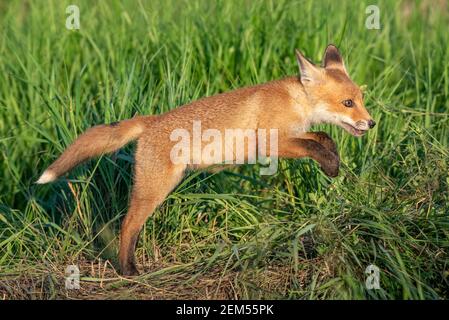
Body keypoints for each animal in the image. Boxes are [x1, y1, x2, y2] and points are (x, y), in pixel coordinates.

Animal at [37, 44, 374, 276]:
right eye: (348, 103)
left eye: (361, 99)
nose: (371, 123)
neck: (296, 101)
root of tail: (151, 120)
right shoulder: (270, 143)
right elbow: (314, 146)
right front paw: (330, 165)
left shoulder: (293, 135)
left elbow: (324, 138)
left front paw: (334, 162)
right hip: (154, 190)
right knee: (127, 225)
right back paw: (128, 270)